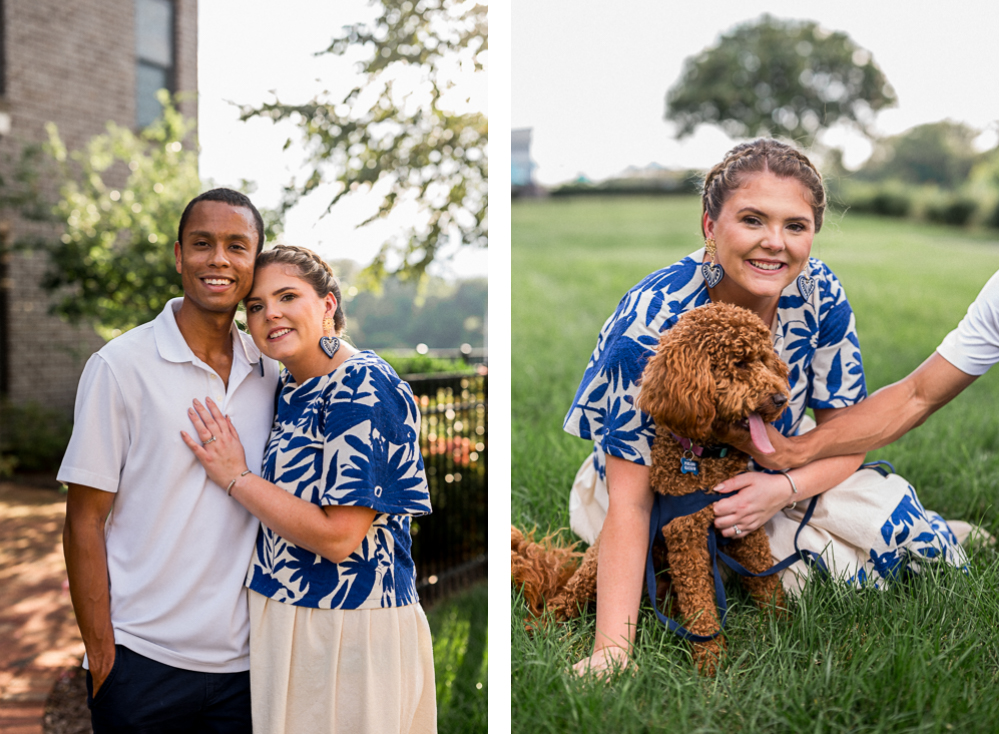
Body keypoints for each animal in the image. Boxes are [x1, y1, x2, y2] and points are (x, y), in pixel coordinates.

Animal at [516, 302, 788, 676]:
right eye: (739, 363)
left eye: (764, 358)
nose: (781, 398)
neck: (705, 457)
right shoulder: (685, 534)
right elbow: (702, 606)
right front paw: (710, 662)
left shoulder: (743, 524)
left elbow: (764, 576)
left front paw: (784, 623)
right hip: (596, 565)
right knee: (569, 597)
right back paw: (541, 626)